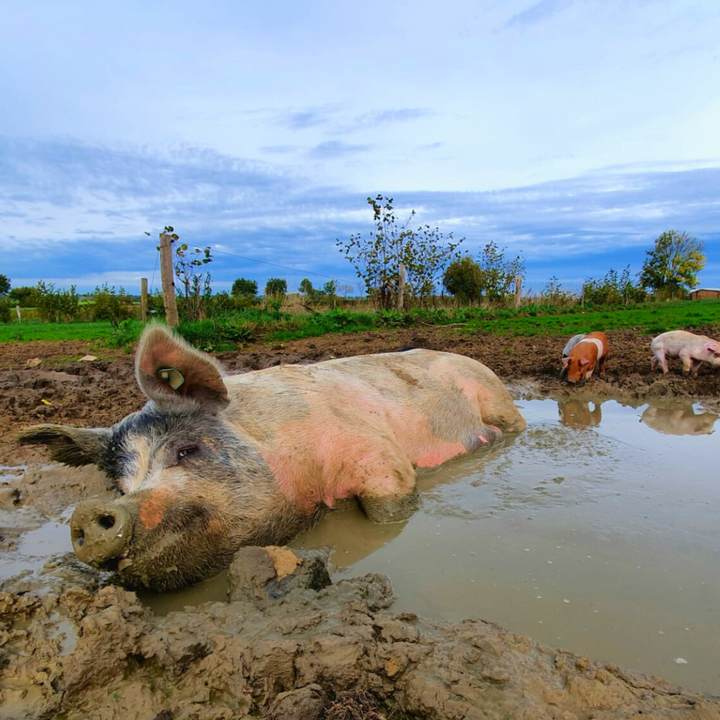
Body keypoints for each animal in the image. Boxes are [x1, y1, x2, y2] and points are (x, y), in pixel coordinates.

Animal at [16, 324, 524, 592]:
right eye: (120, 485)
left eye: (186, 449)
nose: (89, 512)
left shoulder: (376, 452)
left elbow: (387, 505)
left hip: (497, 397)